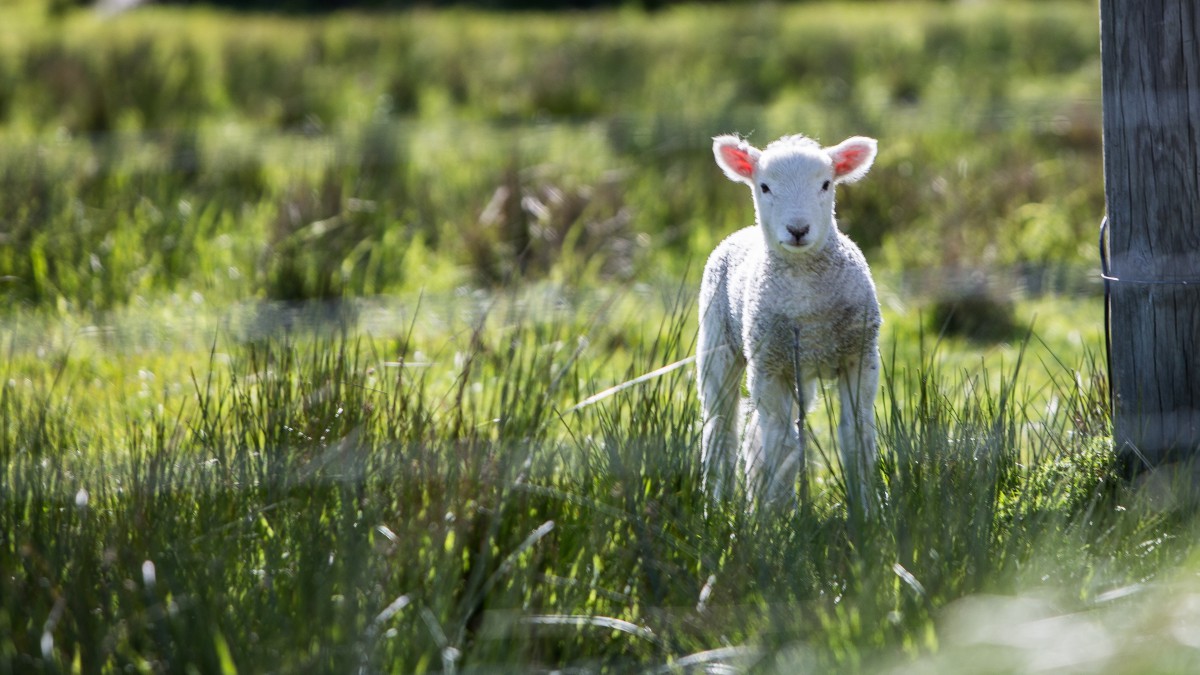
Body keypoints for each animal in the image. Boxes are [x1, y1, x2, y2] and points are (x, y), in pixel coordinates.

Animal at [700, 131, 888, 504]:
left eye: (826, 184)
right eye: (765, 186)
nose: (798, 229)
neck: (806, 300)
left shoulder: (860, 357)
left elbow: (856, 435)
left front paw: (866, 508)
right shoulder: (770, 367)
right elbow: (781, 444)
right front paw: (776, 514)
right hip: (719, 345)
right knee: (722, 428)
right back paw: (719, 503)